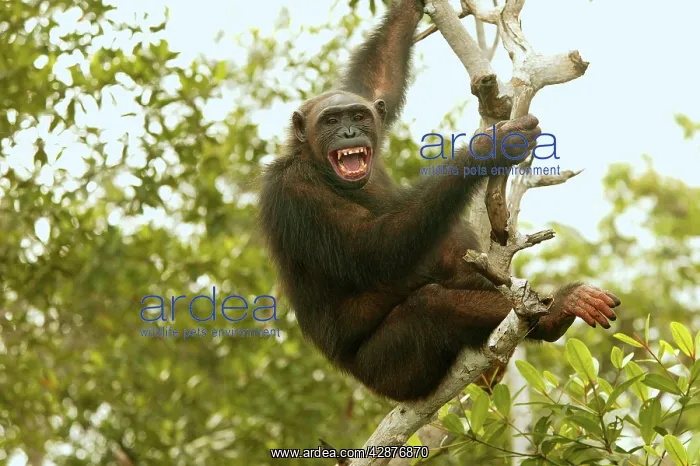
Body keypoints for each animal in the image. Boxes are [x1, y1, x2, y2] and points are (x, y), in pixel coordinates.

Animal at [259, 0, 621, 402]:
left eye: (357, 115)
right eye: (330, 121)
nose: (349, 131)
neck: (315, 164)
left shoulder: (372, 106)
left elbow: (376, 80)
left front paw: (407, 8)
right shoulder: (295, 191)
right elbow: (372, 248)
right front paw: (488, 149)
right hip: (394, 372)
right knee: (431, 303)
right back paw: (556, 311)